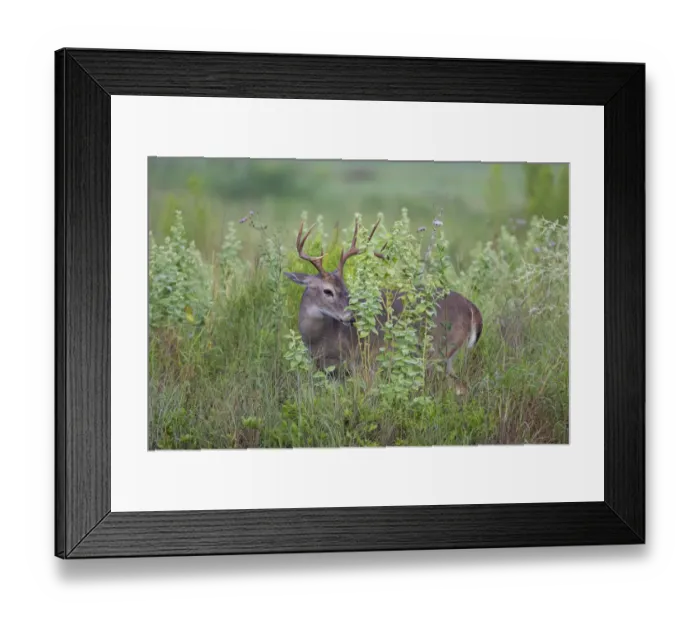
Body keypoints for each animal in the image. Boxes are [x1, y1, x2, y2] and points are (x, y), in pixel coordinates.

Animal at [283, 217, 483, 381]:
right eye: (328, 291)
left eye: (345, 291)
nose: (351, 317)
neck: (320, 337)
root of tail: (472, 308)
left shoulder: (360, 361)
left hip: (439, 348)